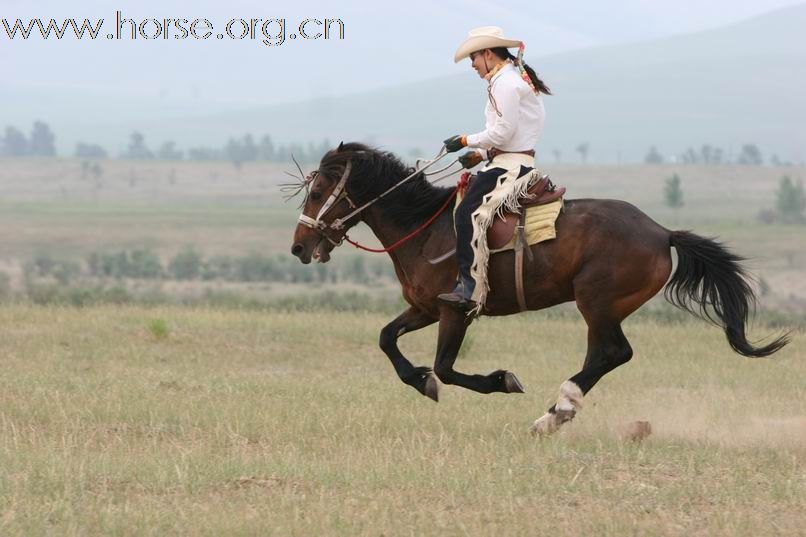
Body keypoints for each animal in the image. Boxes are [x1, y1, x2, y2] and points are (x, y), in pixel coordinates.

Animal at [288, 143, 788, 436]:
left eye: (317, 192)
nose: (298, 246)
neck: (425, 228)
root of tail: (662, 232)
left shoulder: (455, 310)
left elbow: (447, 368)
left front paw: (500, 381)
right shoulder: (425, 308)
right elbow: (387, 339)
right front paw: (419, 381)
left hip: (597, 303)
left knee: (613, 353)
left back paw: (554, 413)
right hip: (600, 308)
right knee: (605, 355)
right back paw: (558, 412)